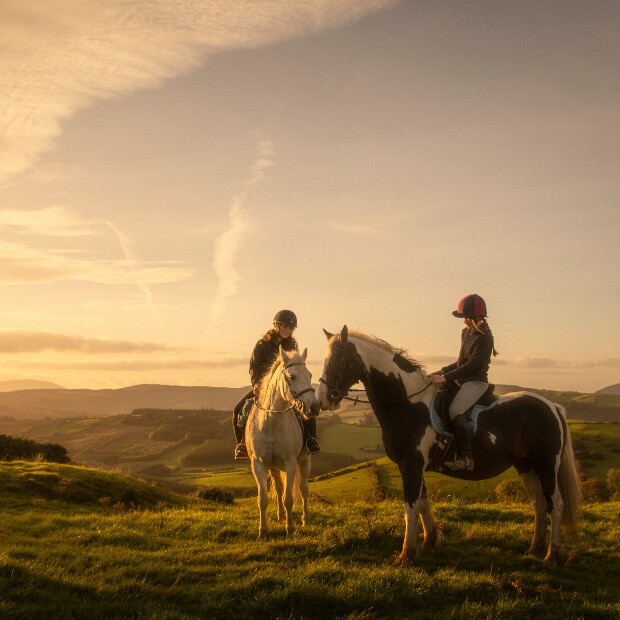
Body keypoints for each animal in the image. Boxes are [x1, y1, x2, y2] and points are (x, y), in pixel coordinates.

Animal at [243, 348, 318, 536]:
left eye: (309, 374)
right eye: (292, 376)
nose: (314, 408)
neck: (271, 423)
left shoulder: (290, 464)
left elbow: (289, 498)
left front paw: (290, 529)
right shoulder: (258, 464)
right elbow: (262, 499)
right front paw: (262, 531)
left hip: (305, 461)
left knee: (304, 489)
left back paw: (305, 519)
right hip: (274, 467)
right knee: (277, 487)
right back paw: (280, 515)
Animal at [318, 326, 584, 564]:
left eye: (336, 360)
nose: (322, 400)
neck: (408, 403)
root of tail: (552, 406)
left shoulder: (411, 465)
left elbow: (411, 507)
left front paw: (406, 555)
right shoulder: (415, 466)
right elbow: (423, 504)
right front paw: (429, 542)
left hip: (547, 465)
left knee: (555, 505)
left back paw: (552, 554)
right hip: (526, 466)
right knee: (539, 504)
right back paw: (535, 548)